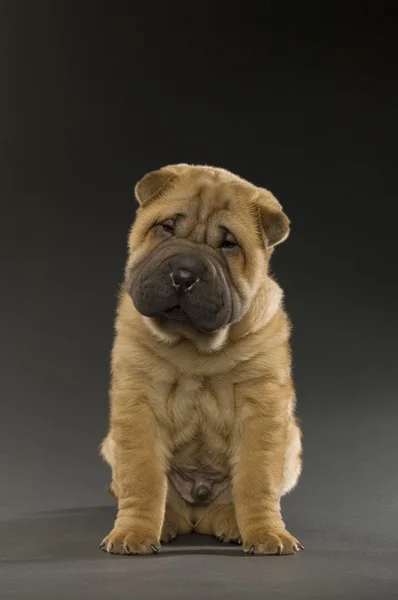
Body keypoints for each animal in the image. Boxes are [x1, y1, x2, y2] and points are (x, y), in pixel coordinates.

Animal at [98, 165, 302, 556]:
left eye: (229, 244)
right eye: (166, 227)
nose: (184, 275)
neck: (194, 346)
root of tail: (197, 518)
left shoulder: (262, 408)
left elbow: (257, 479)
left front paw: (267, 534)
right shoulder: (138, 405)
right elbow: (142, 479)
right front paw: (133, 533)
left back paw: (231, 523)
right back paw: (167, 524)